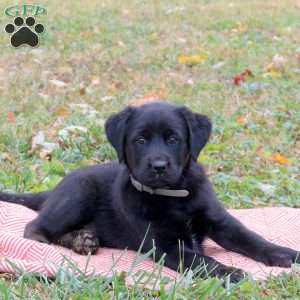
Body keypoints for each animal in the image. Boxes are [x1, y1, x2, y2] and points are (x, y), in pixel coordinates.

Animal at [1, 102, 298, 282]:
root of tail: (54, 190)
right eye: (141, 140)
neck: (174, 195)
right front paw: (230, 272)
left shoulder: (221, 222)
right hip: (78, 194)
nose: (158, 166)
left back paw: (84, 238)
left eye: (173, 139)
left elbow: (253, 238)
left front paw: (287, 254)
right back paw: (71, 241)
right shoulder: (164, 244)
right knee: (35, 228)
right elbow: (201, 259)